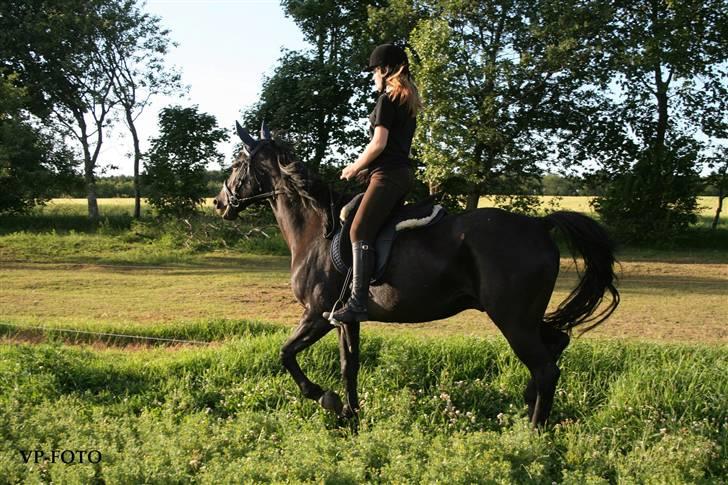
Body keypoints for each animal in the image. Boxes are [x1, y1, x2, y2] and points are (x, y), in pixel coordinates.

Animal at [213, 123, 616, 426]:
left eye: (235, 164)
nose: (219, 203)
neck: (317, 232)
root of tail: (539, 225)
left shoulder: (318, 315)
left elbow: (286, 354)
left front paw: (326, 399)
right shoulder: (345, 319)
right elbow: (349, 366)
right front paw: (351, 418)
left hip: (512, 319)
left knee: (546, 369)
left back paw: (532, 433)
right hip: (523, 317)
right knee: (557, 344)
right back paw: (528, 402)